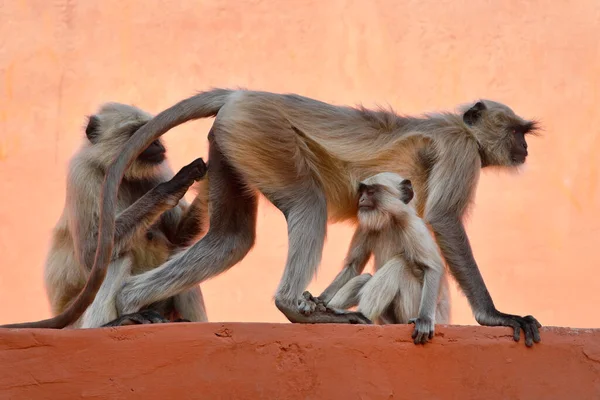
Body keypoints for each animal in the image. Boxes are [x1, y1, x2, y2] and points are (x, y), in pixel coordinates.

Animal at [15, 103, 211, 328]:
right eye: (138, 132)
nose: (157, 143)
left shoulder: (159, 169)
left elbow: (179, 235)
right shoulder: (82, 174)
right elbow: (91, 252)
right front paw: (171, 186)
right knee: (116, 257)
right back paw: (111, 324)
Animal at [318, 172, 450, 344]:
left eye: (371, 192)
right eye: (362, 192)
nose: (361, 200)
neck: (388, 220)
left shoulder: (412, 225)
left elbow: (432, 267)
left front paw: (424, 320)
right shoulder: (365, 227)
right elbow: (353, 266)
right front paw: (318, 301)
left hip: (407, 313)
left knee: (399, 264)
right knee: (365, 278)